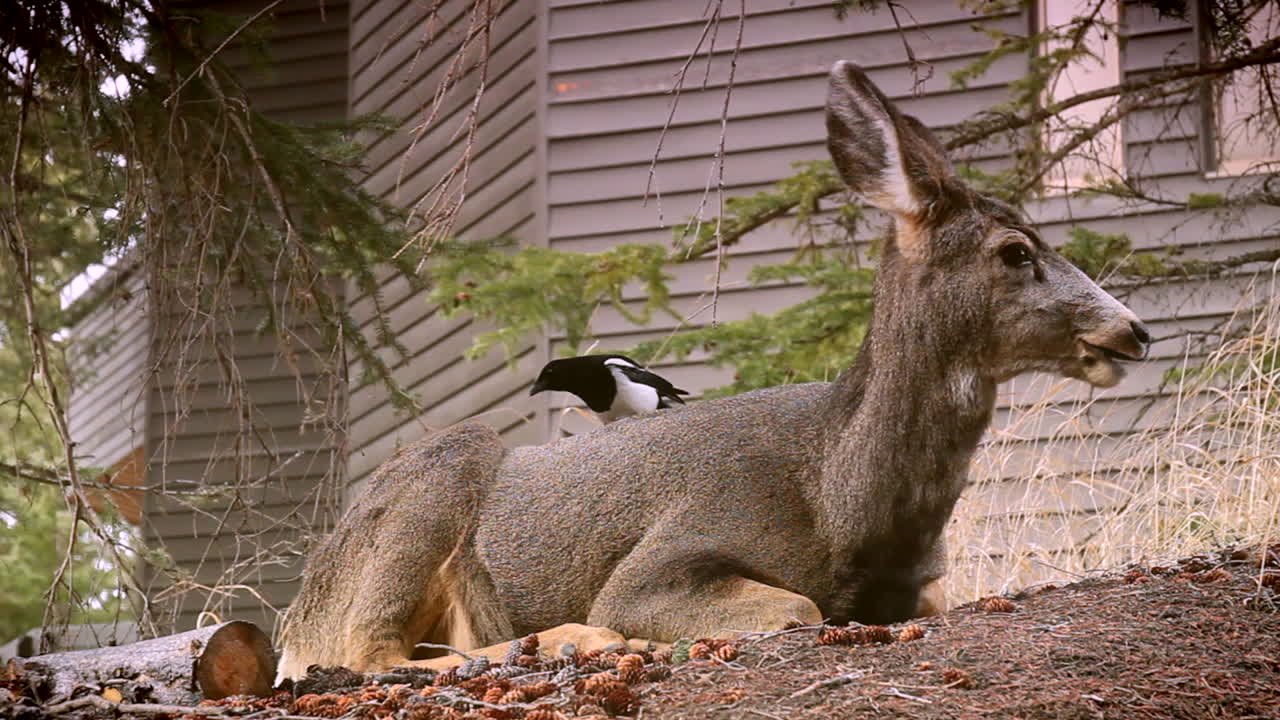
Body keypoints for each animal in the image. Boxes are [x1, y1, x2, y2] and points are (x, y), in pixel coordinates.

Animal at [275, 61, 1149, 682]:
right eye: (1016, 252)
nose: (1133, 331)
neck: (839, 495)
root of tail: (297, 615)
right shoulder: (670, 552)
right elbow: (797, 606)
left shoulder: (929, 584)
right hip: (443, 469)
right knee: (367, 653)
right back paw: (578, 640)